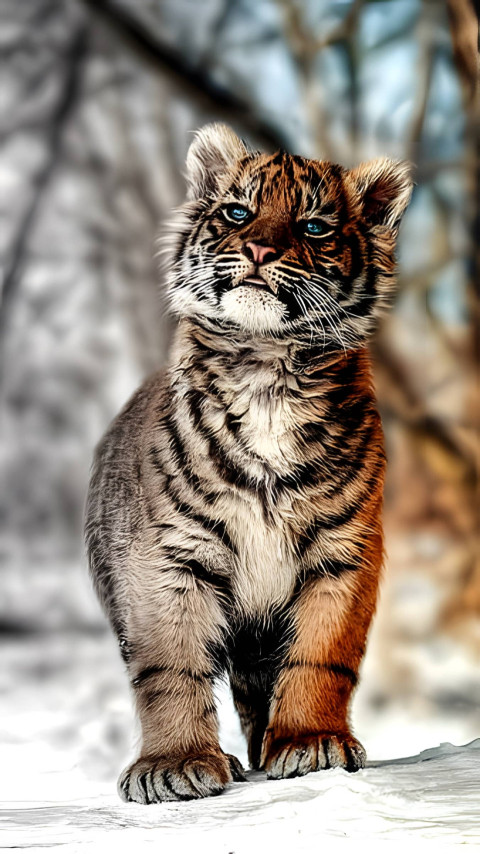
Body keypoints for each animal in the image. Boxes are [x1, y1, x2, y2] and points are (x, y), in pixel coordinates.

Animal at [85, 123, 412, 803]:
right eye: (239, 213)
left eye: (313, 227)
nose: (260, 249)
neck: (266, 371)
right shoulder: (166, 558)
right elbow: (171, 666)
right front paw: (175, 765)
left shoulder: (344, 551)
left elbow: (322, 654)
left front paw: (311, 743)